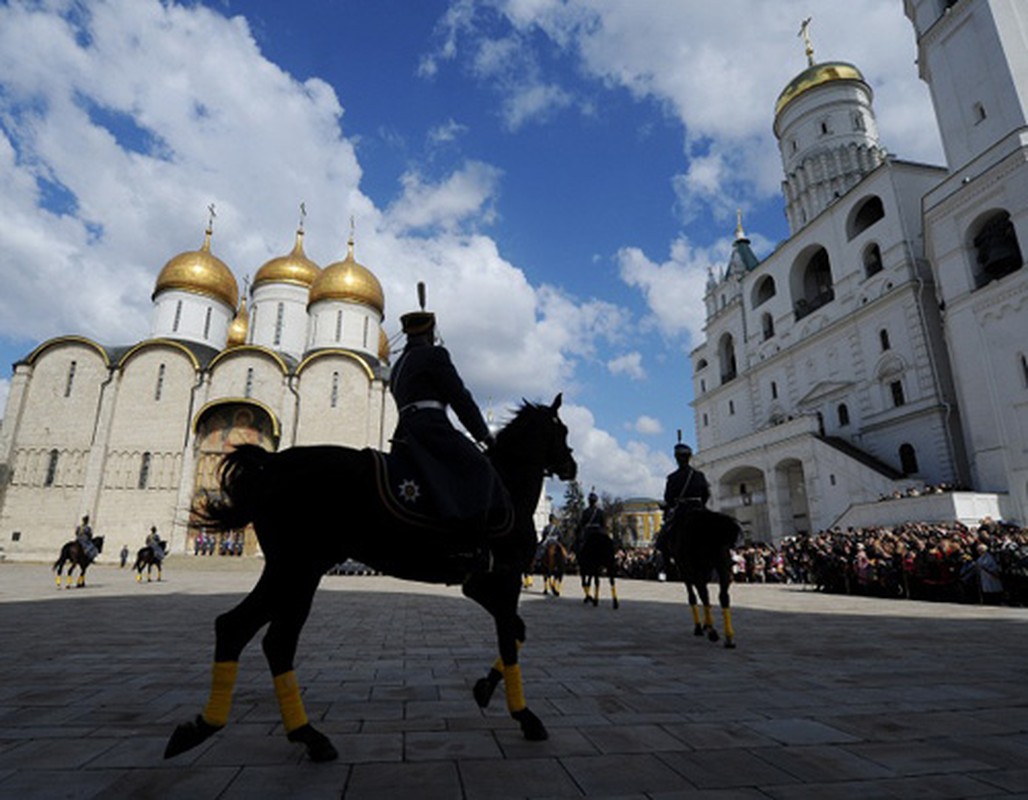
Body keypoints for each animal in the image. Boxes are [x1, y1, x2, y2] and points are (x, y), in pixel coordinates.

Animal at [666, 507, 740, 645]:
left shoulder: (687, 570)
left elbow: (694, 596)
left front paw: (702, 626)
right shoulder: (707, 570)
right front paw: (707, 624)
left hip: (694, 569)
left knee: (702, 595)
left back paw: (710, 632)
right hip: (721, 566)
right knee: (723, 596)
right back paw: (728, 637)